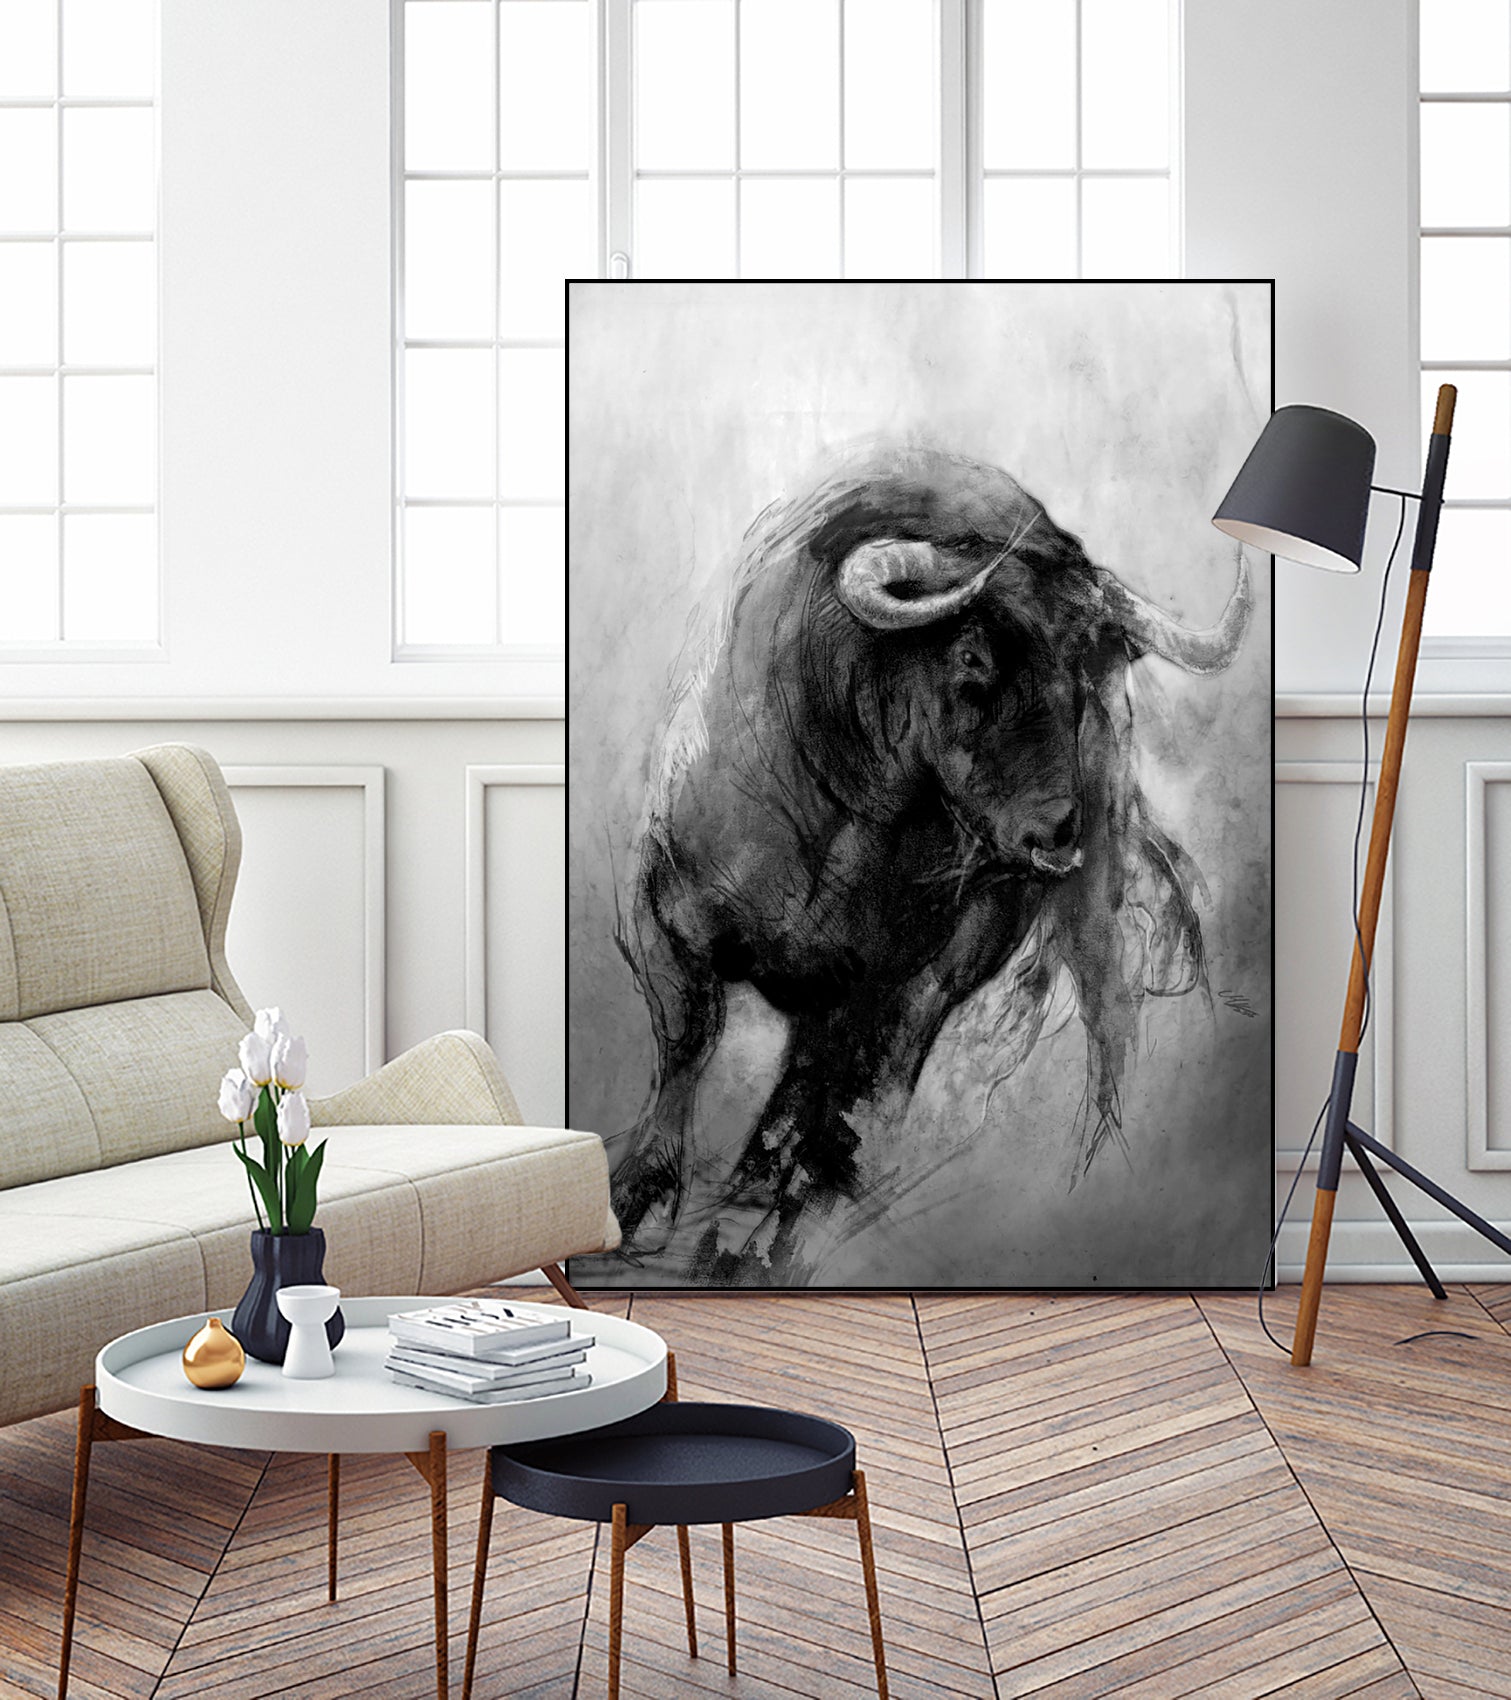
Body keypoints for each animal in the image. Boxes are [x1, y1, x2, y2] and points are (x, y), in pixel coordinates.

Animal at [607, 446, 1251, 1284]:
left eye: (1088, 671)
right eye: (972, 653)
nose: (1056, 836)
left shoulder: (904, 984)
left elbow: (843, 1096)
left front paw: (769, 1223)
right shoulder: (665, 916)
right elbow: (686, 1041)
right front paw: (639, 1203)